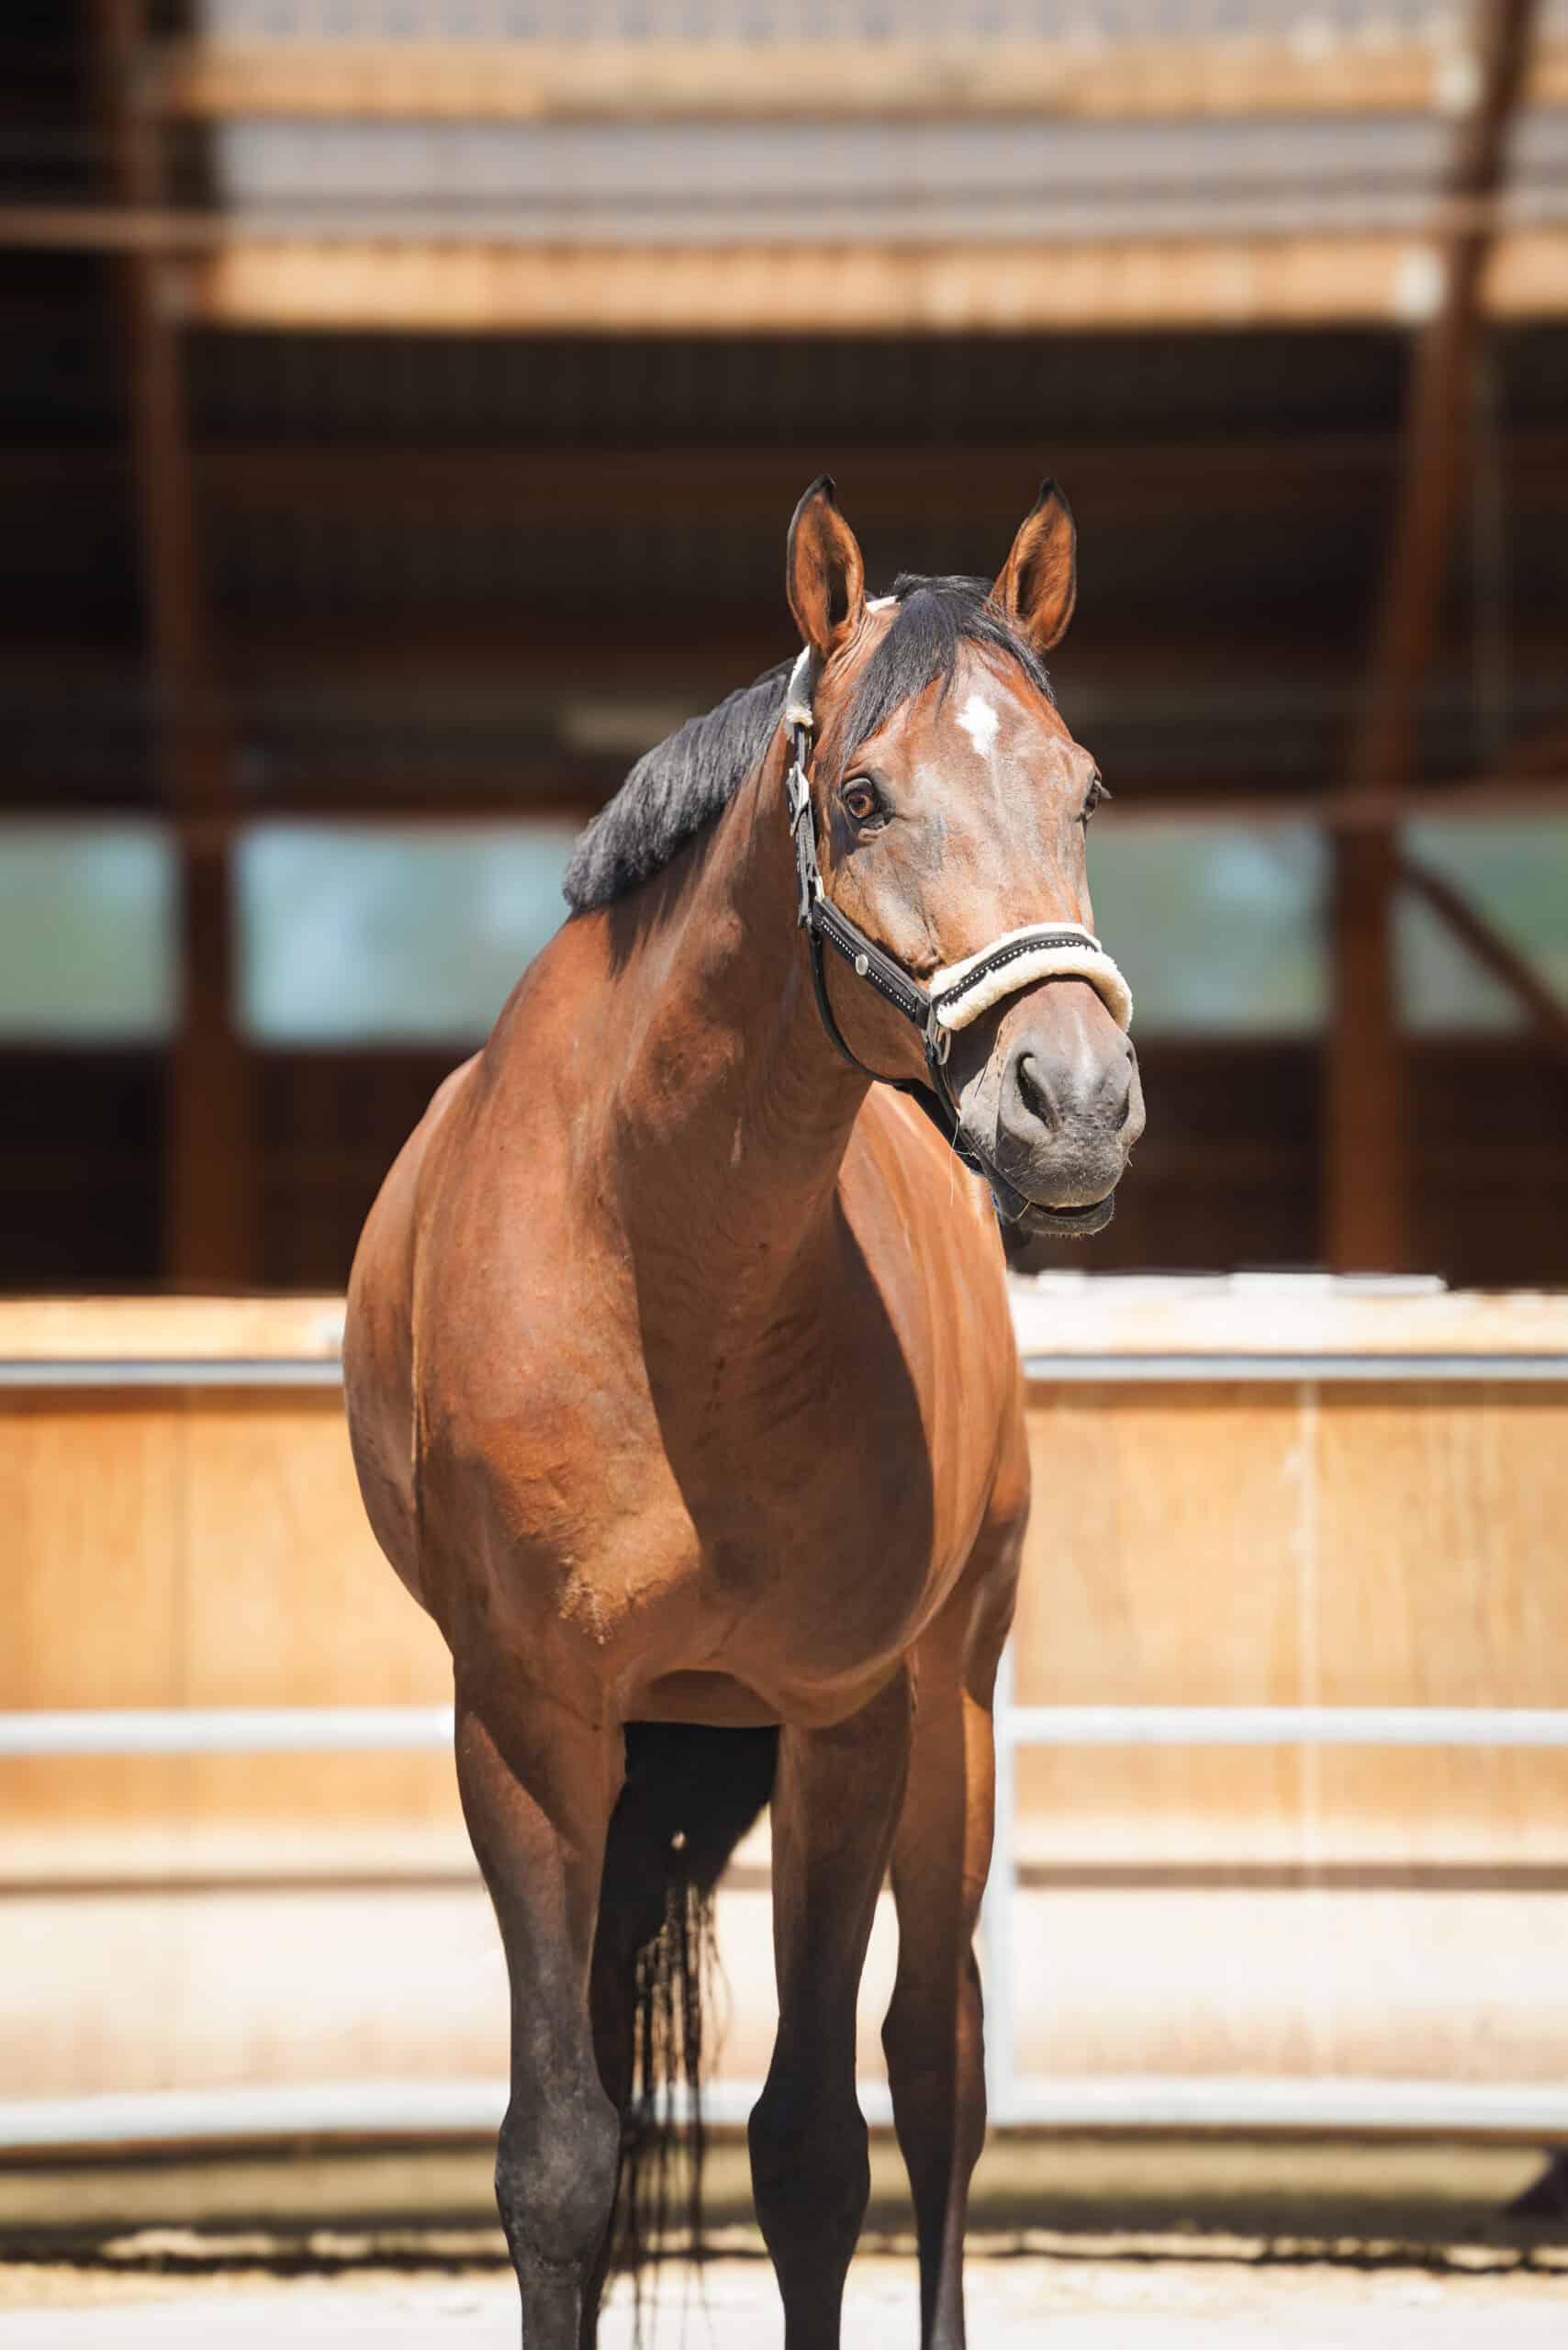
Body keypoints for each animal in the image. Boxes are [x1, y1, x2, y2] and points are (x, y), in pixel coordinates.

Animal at [343, 476, 1143, 2350]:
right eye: (860, 796)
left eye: (1081, 788)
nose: (1073, 1105)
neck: (661, 1261)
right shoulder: (526, 1723)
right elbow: (561, 2160)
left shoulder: (843, 1719)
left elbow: (815, 2150)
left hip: (951, 1704)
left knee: (937, 2071)